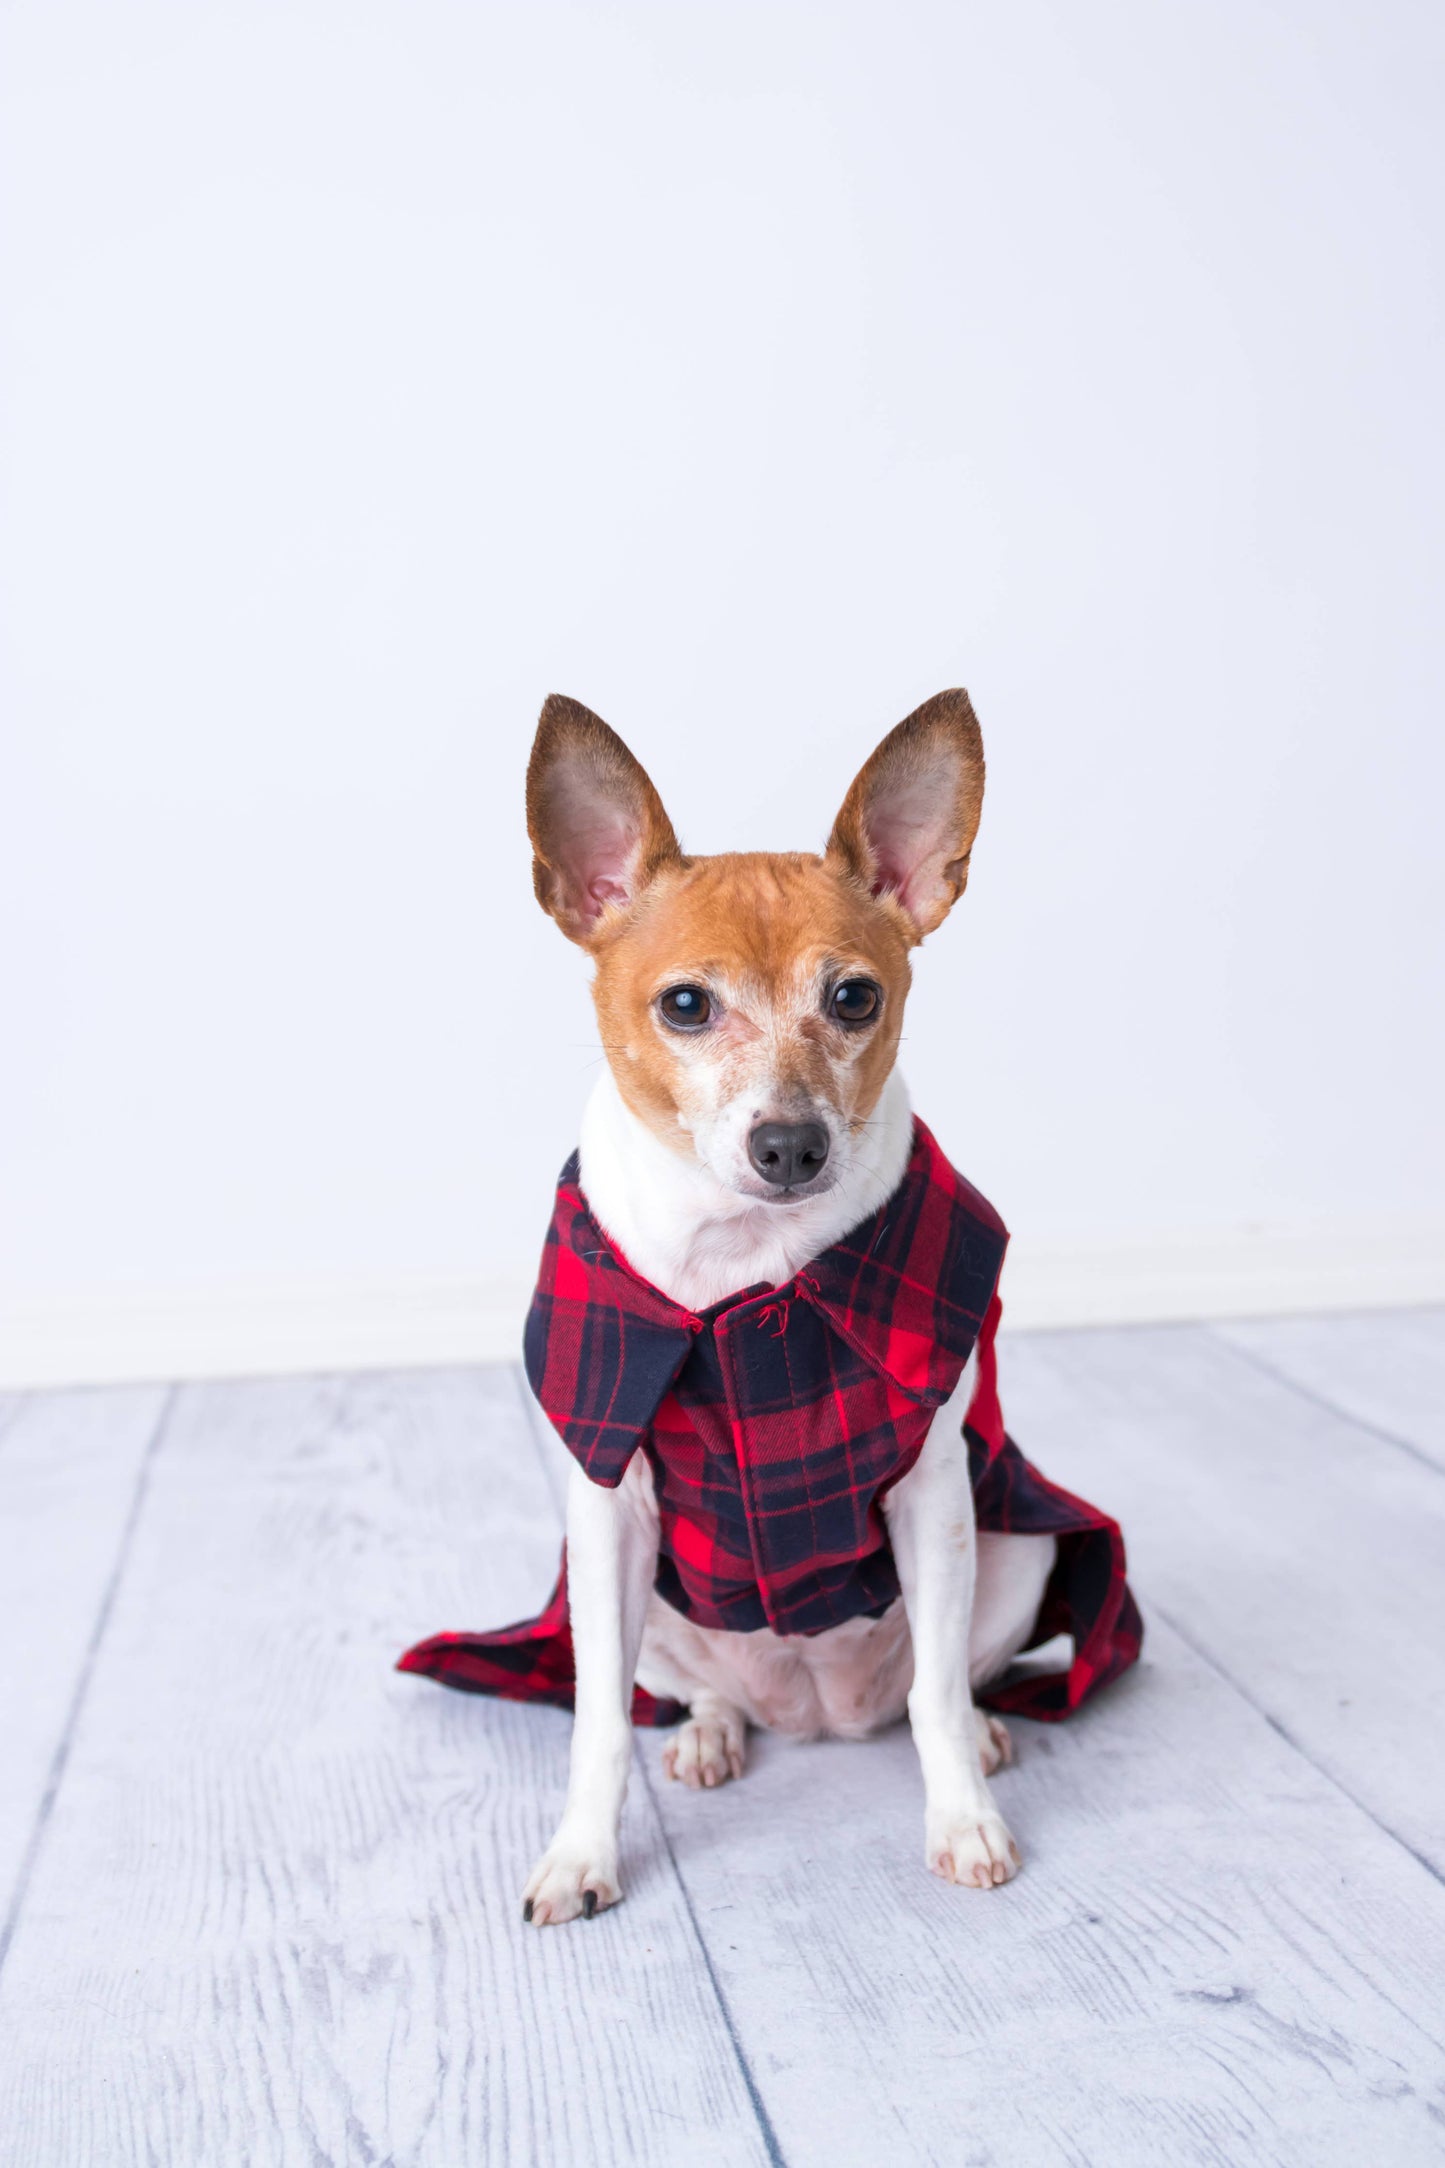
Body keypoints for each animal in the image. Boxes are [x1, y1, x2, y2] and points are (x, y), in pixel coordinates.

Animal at [398, 685, 1143, 1925]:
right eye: (684, 1005)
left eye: (854, 996)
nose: (788, 1141)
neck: (745, 1271)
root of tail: (817, 1711)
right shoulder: (607, 1508)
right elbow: (595, 1723)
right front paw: (580, 1853)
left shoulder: (932, 1492)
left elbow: (936, 1698)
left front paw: (962, 1820)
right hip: (645, 1603)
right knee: (698, 1694)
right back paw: (708, 1733)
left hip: (1010, 1550)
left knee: (936, 1684)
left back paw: (983, 1733)